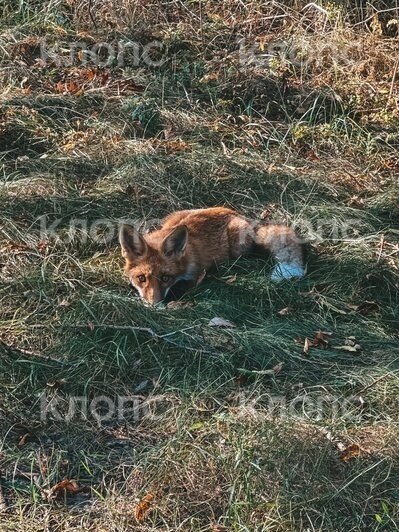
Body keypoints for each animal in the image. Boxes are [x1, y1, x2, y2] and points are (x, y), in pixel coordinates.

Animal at [119, 207, 306, 306]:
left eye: (165, 278)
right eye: (141, 278)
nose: (154, 304)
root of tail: (241, 216)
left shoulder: (196, 275)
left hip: (237, 244)